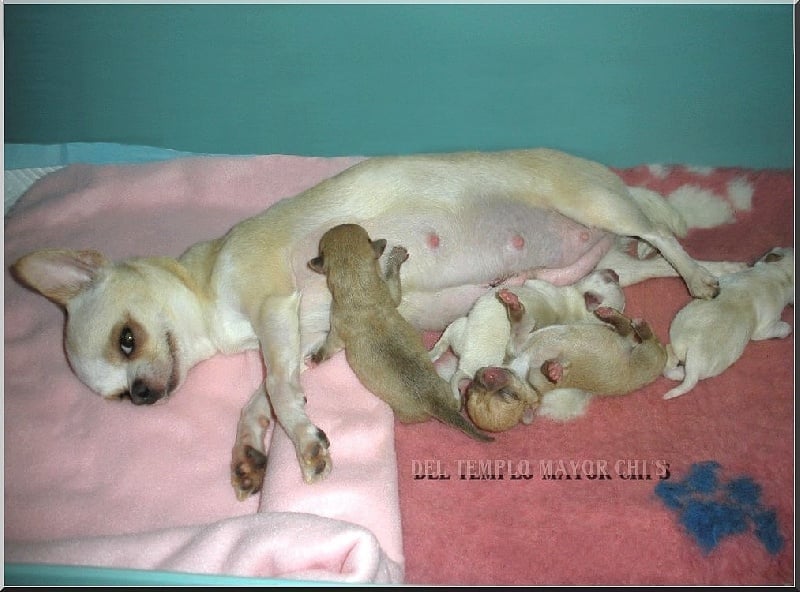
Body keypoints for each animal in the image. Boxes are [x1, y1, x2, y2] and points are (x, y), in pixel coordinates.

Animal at [307, 223, 492, 442]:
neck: (359, 286)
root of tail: (436, 402)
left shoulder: (336, 330)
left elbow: (328, 347)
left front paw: (314, 359)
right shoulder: (389, 294)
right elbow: (395, 290)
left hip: (407, 414)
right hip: (445, 387)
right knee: (455, 402)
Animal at [429, 269, 625, 404]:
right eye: (612, 280)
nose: (615, 273)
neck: (579, 311)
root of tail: (467, 368)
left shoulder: (540, 285)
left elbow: (531, 279)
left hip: (461, 326)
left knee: (445, 338)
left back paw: (433, 353)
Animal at [466, 307, 667, 430]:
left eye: (473, 386)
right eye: (511, 396)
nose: (485, 375)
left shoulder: (517, 345)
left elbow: (519, 324)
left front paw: (512, 302)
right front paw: (553, 370)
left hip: (630, 342)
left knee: (626, 329)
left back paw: (610, 314)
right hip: (646, 358)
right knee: (645, 339)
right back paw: (640, 327)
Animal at [662, 246, 794, 400]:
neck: (780, 274)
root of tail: (694, 353)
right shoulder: (766, 327)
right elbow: (779, 328)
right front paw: (787, 329)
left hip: (679, 337)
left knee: (675, 369)